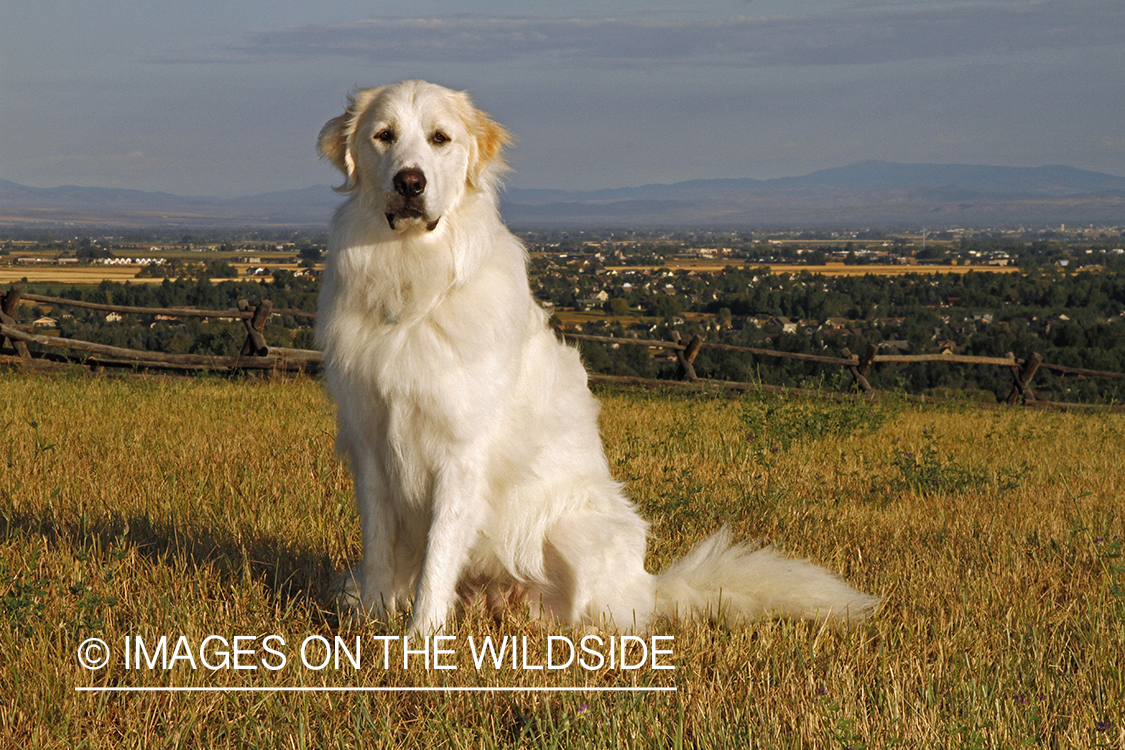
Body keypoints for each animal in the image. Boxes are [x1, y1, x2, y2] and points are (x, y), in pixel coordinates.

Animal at [317, 80, 877, 634]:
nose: (410, 183)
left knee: (611, 617)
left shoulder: (459, 457)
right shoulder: (371, 448)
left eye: (440, 139)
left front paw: (420, 638)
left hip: (577, 536)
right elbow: (379, 550)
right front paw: (371, 623)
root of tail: (652, 586)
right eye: (384, 136)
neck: (415, 283)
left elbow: (438, 559)